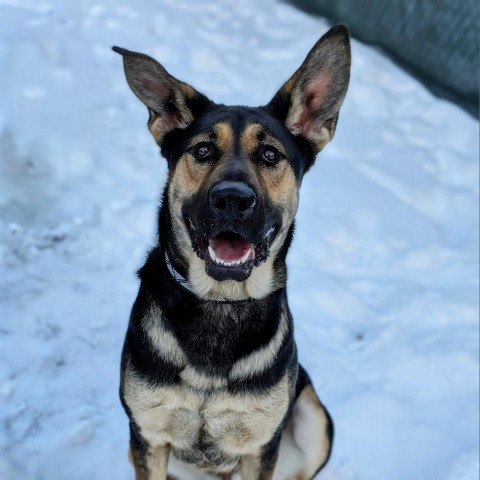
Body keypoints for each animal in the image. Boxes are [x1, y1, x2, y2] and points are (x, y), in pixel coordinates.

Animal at [114, 25, 350, 480]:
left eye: (270, 154)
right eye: (202, 150)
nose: (232, 200)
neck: (221, 303)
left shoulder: (260, 445)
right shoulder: (147, 435)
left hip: (315, 418)